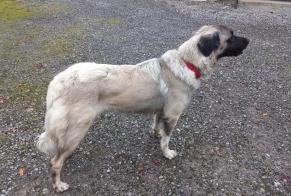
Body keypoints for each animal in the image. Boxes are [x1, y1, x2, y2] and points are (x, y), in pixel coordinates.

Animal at [36, 25, 250, 192]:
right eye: (231, 37)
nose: (248, 40)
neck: (187, 62)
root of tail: (58, 82)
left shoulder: (161, 110)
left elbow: (156, 125)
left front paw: (156, 134)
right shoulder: (173, 115)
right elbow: (167, 139)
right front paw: (167, 153)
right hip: (80, 126)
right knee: (55, 162)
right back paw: (58, 185)